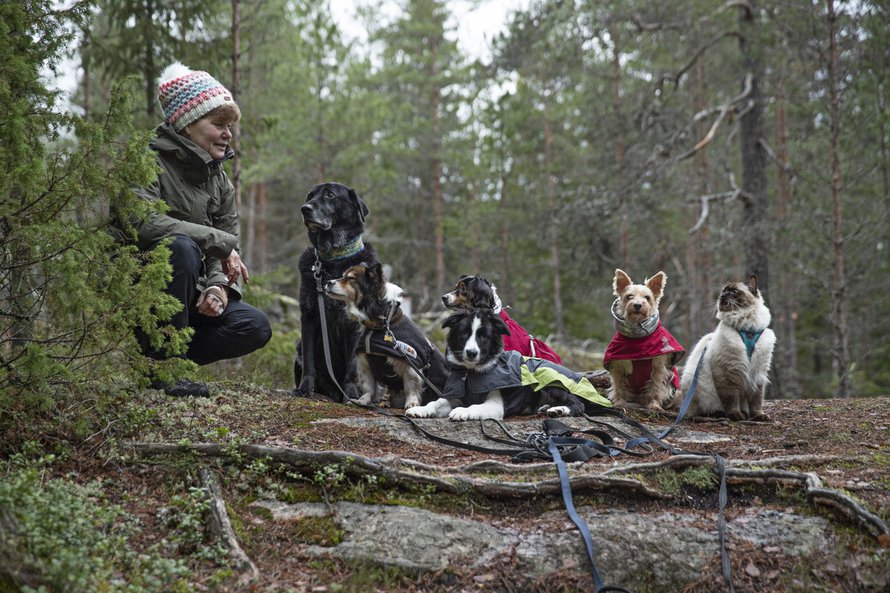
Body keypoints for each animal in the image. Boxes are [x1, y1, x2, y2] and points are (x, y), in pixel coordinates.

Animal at [292, 183, 374, 400]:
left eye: (330, 195)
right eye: (309, 196)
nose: (305, 209)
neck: (333, 259)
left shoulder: (354, 324)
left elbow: (352, 365)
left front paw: (351, 393)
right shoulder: (309, 316)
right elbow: (309, 360)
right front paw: (304, 388)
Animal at [600, 270, 684, 412]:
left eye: (647, 298)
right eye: (629, 296)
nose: (638, 305)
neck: (638, 338)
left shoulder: (658, 367)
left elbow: (655, 387)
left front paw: (654, 405)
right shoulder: (617, 366)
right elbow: (619, 387)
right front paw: (619, 403)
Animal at [684, 274, 772, 418]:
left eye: (734, 291)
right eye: (723, 292)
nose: (723, 295)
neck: (747, 329)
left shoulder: (758, 373)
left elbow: (757, 400)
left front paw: (759, 416)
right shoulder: (728, 372)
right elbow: (731, 398)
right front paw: (735, 415)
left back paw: (745, 412)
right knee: (703, 410)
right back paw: (722, 413)